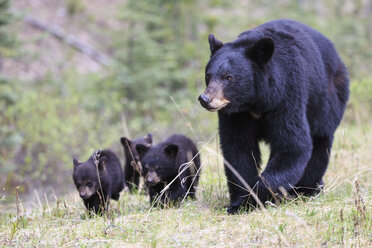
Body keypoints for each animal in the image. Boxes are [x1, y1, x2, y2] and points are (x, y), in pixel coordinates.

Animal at [198, 18, 348, 213]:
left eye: (228, 77)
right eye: (208, 76)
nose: (205, 99)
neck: (256, 101)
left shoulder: (287, 95)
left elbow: (292, 145)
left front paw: (254, 198)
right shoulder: (236, 114)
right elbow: (238, 149)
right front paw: (240, 201)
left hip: (326, 100)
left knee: (320, 143)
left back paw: (306, 189)